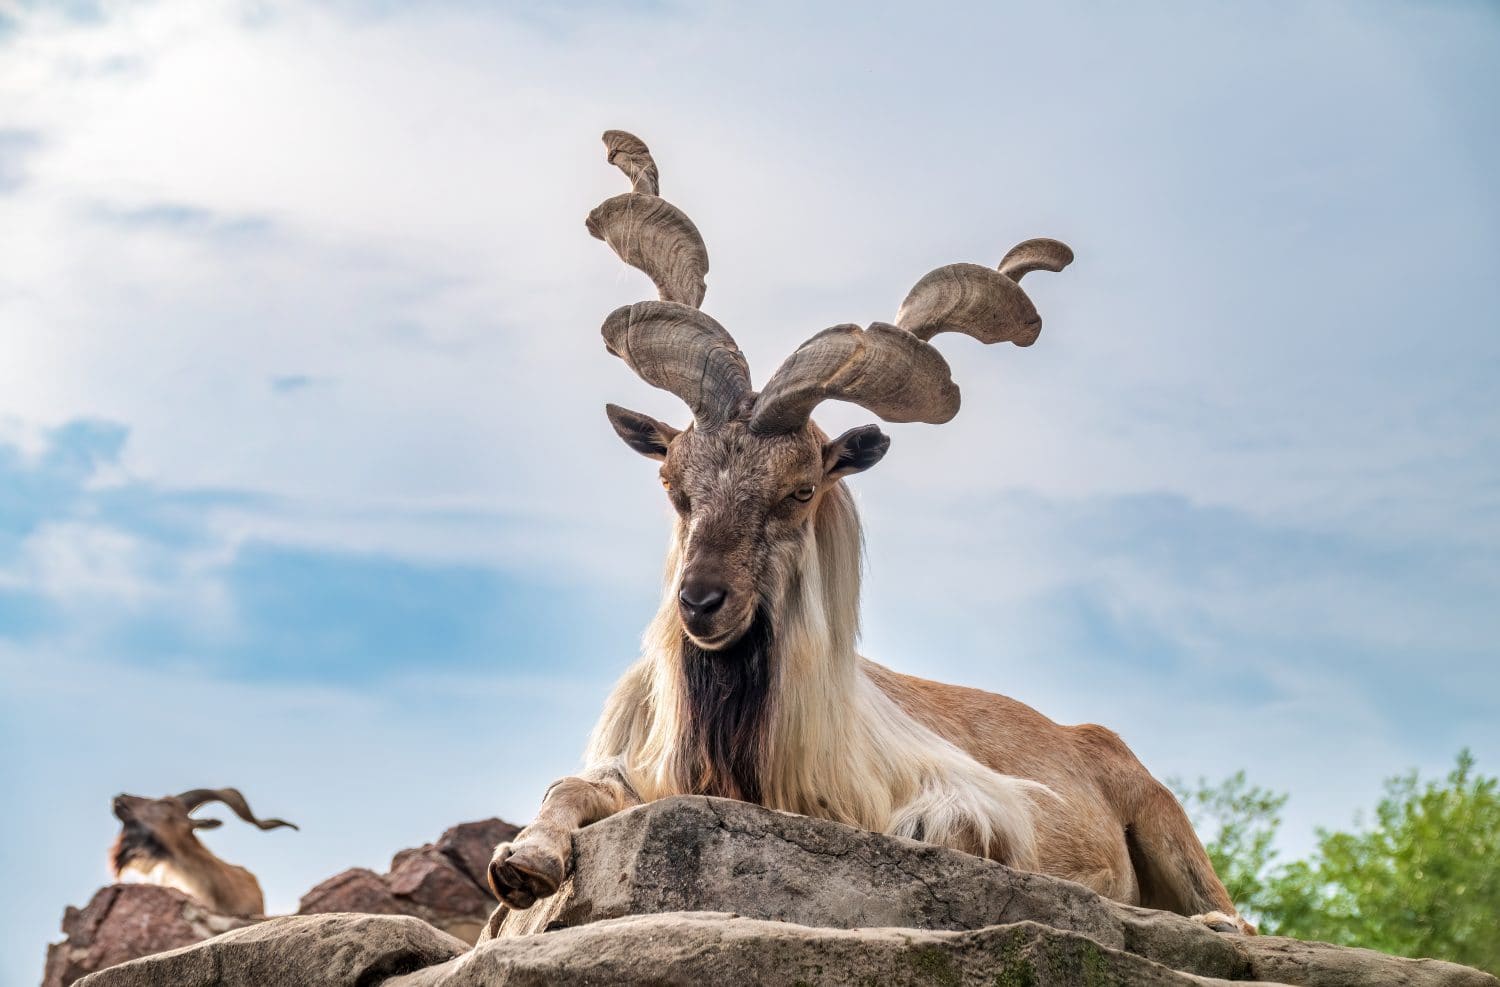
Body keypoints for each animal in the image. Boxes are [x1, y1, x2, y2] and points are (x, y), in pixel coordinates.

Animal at [488, 131, 1252, 934]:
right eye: (674, 485)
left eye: (800, 491)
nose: (700, 602)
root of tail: (1089, 734)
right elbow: (575, 786)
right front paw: (523, 863)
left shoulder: (958, 799)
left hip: (1163, 818)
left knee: (1238, 915)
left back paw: (1208, 922)